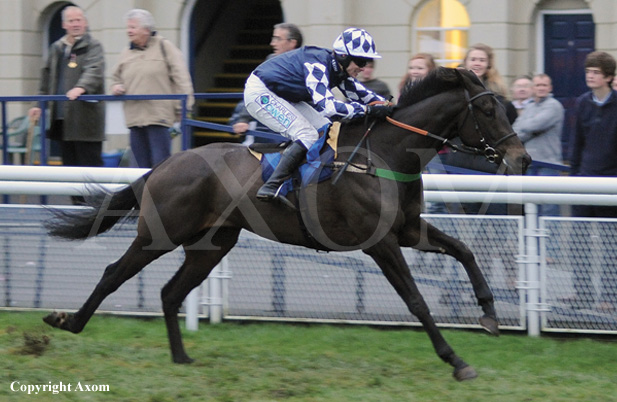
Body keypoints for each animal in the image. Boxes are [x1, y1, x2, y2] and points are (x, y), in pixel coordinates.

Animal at [42, 67, 528, 382]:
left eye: (507, 107)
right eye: (488, 109)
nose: (521, 159)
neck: (384, 156)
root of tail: (164, 164)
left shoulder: (409, 230)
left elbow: (464, 251)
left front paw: (488, 314)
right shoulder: (380, 243)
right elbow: (417, 302)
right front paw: (456, 361)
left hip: (212, 244)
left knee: (170, 292)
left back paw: (181, 358)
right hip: (160, 234)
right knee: (114, 273)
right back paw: (68, 322)